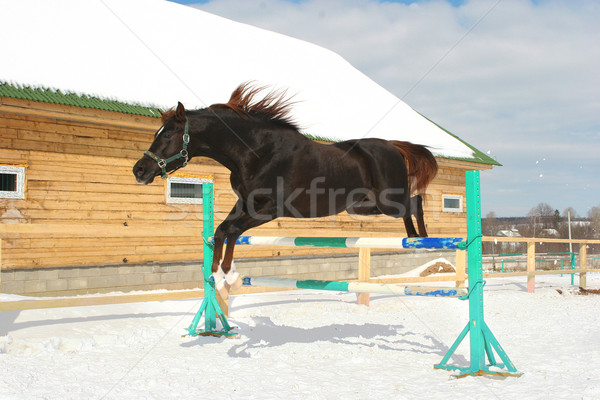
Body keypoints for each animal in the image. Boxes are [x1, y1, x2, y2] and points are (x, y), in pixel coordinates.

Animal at [134, 83, 438, 292]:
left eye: (168, 135)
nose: (139, 170)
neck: (257, 151)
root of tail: (394, 146)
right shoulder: (245, 203)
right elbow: (222, 230)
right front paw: (218, 274)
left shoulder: (270, 209)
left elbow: (232, 230)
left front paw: (226, 273)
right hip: (362, 206)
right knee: (409, 207)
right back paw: (414, 239)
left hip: (387, 201)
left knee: (414, 203)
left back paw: (422, 240)